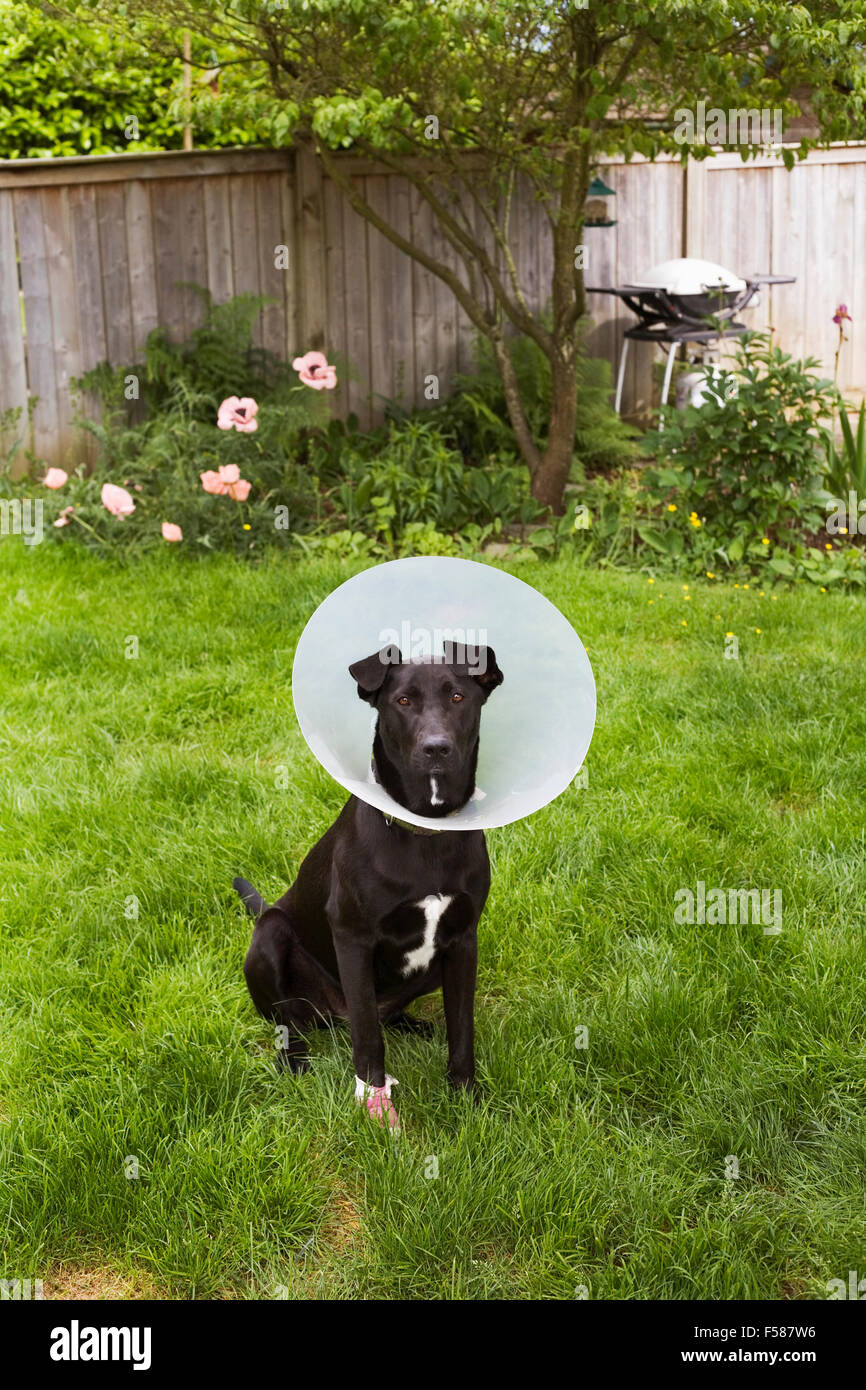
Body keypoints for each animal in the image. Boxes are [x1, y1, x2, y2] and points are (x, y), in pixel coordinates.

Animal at [234, 639, 500, 1095]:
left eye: (458, 697)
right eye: (403, 701)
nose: (436, 747)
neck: (425, 835)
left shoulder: (464, 940)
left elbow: (462, 1028)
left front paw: (466, 1096)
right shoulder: (352, 939)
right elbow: (367, 1036)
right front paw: (373, 1097)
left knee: (384, 1016)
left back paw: (414, 1025)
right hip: (271, 934)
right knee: (291, 1021)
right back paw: (295, 1059)